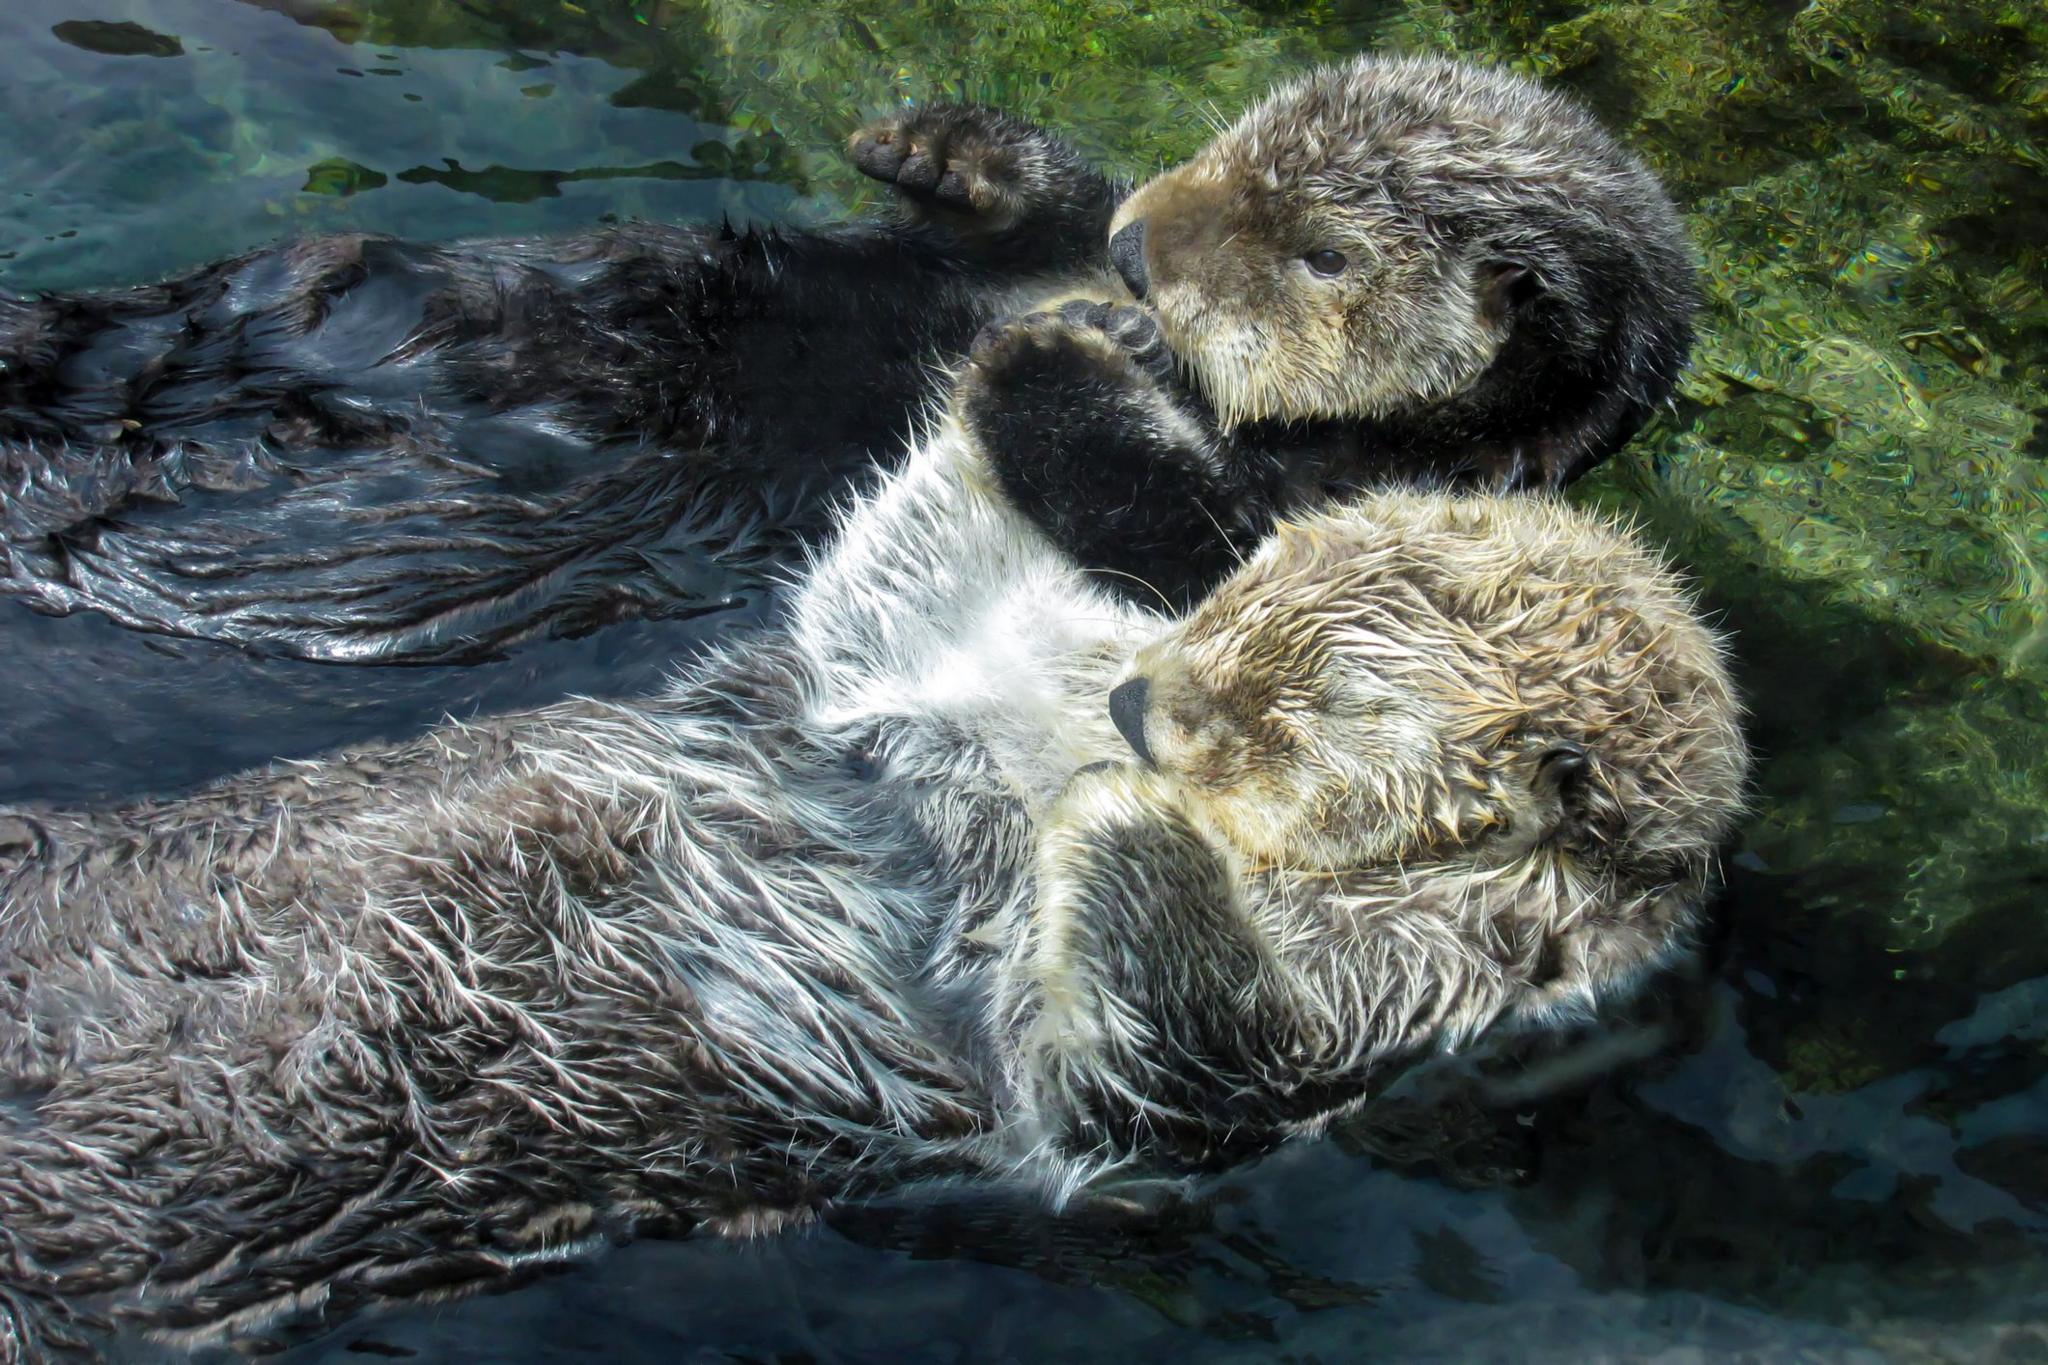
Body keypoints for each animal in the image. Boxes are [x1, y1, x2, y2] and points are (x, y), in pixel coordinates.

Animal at [0, 56, 1695, 663]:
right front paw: (928, 146)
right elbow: (1041, 191)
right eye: (1234, 138)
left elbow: (1178, 539)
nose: (1142, 259)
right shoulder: (1038, 230)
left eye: (1326, 255)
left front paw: (1055, 349)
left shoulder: (1351, 518)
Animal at [0, 304, 1744, 1358]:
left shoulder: (1396, 999)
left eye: (1310, 707)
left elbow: (1165, 1068)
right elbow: (891, 583)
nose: (1136, 711)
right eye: (1244, 591)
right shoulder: (882, 690)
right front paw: (1071, 354)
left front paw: (1124, 816)